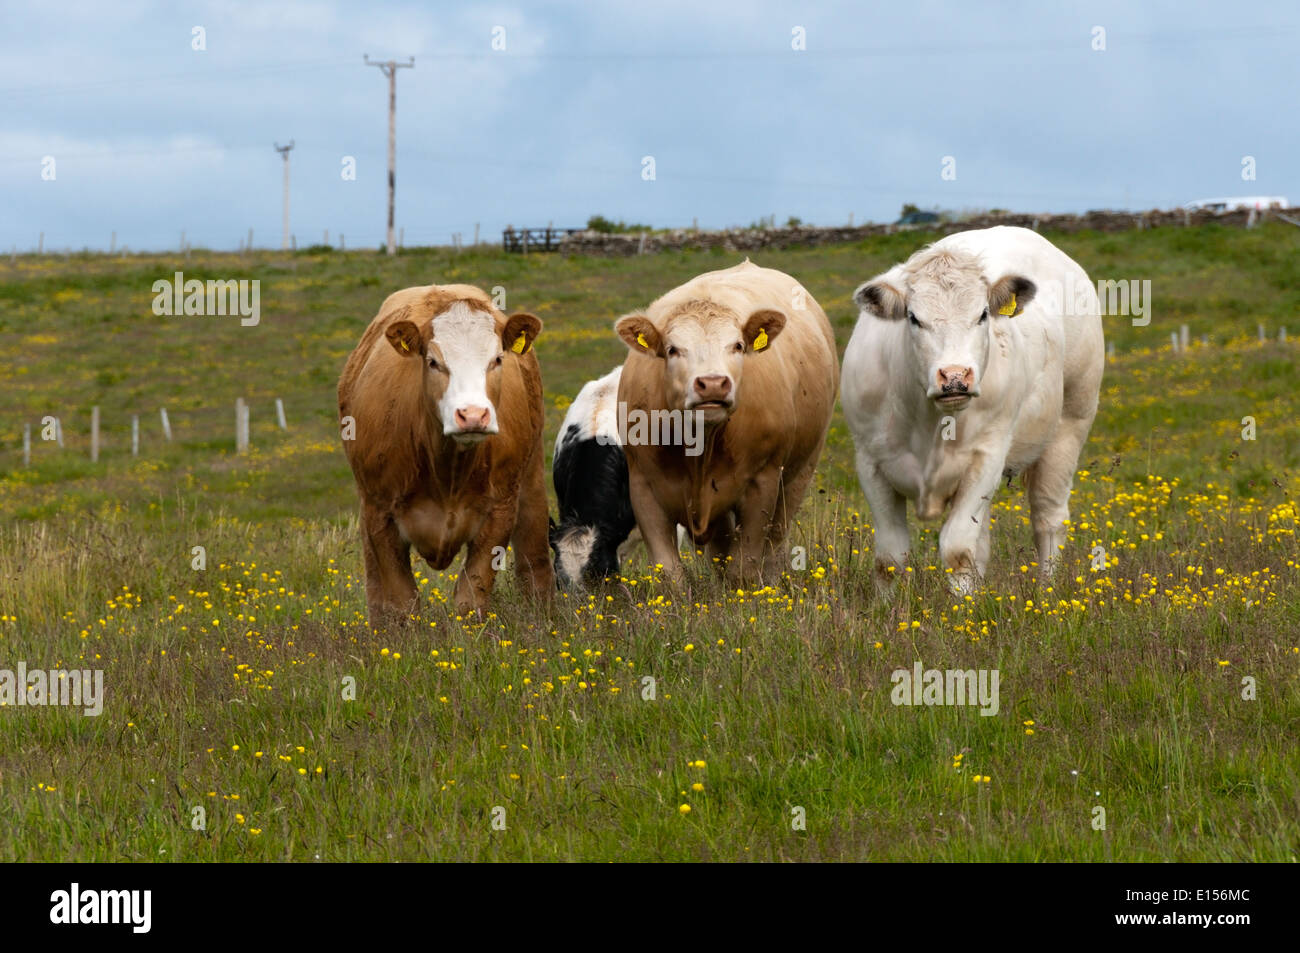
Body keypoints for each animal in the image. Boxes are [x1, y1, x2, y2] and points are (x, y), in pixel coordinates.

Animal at [335, 282, 553, 616]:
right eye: (433, 362)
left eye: (497, 359)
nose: (473, 415)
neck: (448, 469)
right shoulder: (380, 514)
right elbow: (401, 602)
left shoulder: (500, 510)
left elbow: (470, 599)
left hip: (530, 481)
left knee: (534, 559)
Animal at [613, 260, 837, 579]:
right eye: (672, 349)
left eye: (738, 346)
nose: (713, 383)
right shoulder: (643, 487)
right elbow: (670, 572)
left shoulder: (762, 483)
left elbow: (743, 567)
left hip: (801, 469)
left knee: (776, 541)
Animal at [837, 226, 1102, 590]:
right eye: (913, 318)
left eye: (982, 315)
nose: (954, 376)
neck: (930, 423)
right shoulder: (870, 461)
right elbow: (890, 558)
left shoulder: (987, 456)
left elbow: (958, 550)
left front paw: (963, 603)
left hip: (1071, 424)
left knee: (1049, 518)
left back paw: (1047, 589)